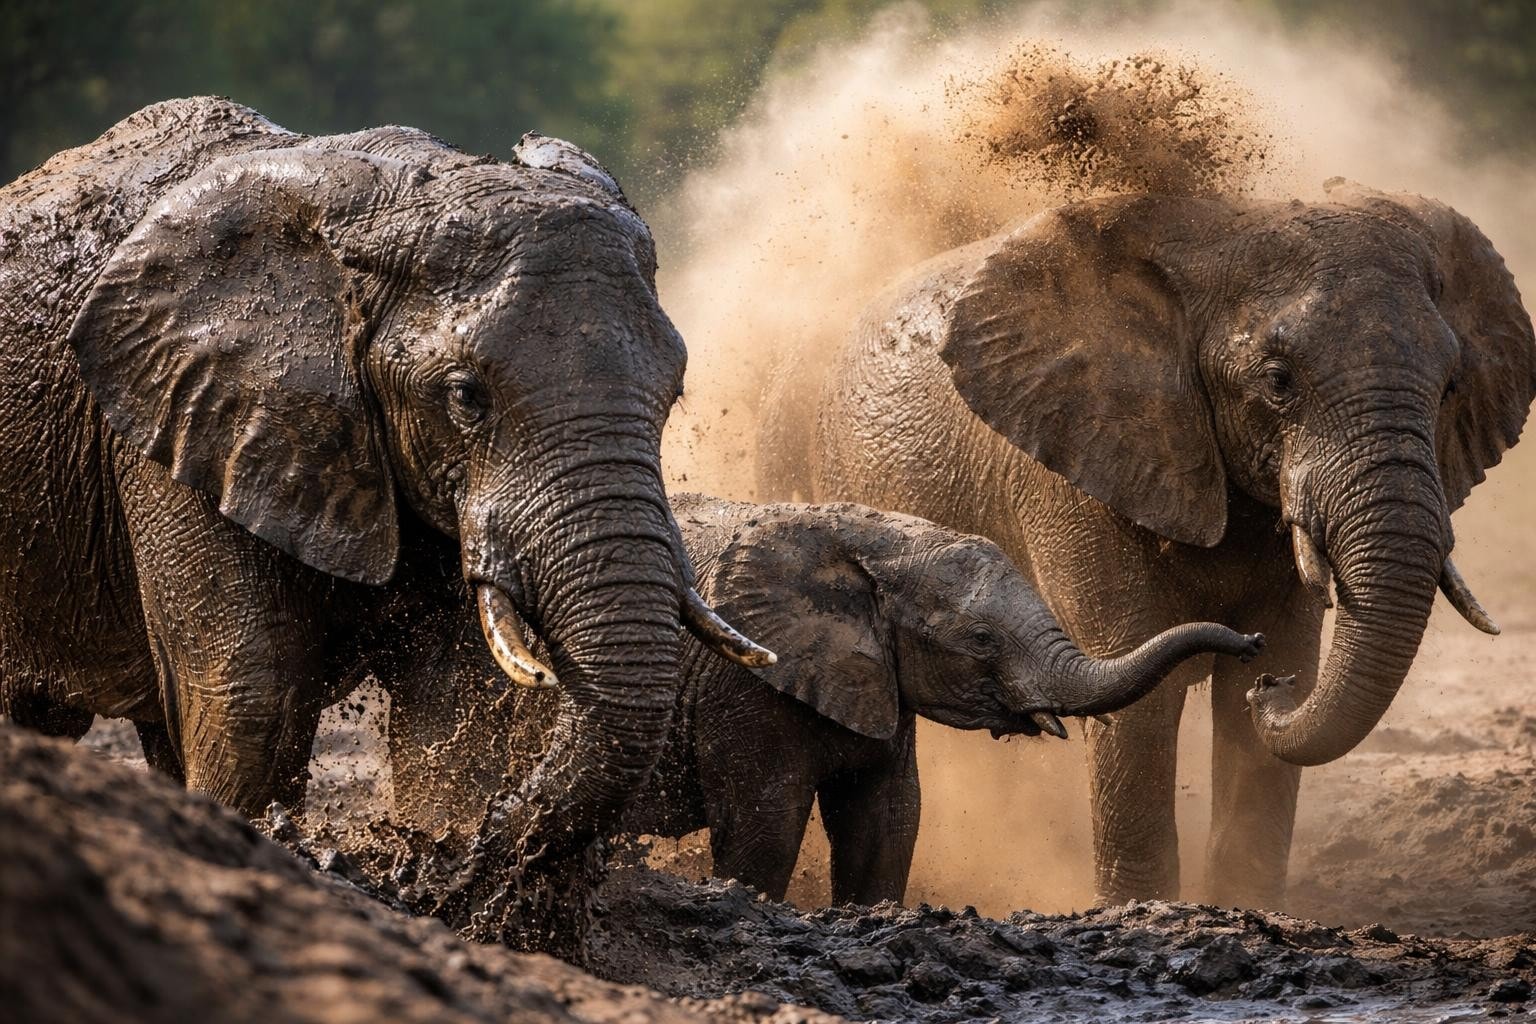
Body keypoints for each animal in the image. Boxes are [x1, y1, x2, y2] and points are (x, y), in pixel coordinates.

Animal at [0, 97, 771, 943]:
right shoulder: (182, 421)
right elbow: (255, 701)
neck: (376, 206)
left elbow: (447, 717)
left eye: (674, 393)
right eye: (466, 396)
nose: (493, 843)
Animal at [385, 493, 1264, 905]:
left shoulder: (880, 683)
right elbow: (768, 823)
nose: (1260, 655)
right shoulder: (745, 683)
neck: (875, 543)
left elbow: (887, 819)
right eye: (981, 640)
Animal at [759, 182, 1535, 908]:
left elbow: (1265, 678)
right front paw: (1141, 907)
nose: (1273, 687)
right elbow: (1137, 693)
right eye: (1278, 382)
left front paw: (1247, 902)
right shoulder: (1075, 464)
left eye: (1451, 388)